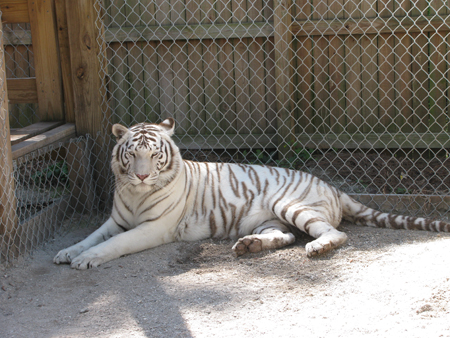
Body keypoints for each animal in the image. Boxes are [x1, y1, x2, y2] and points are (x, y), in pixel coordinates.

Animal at [54, 119, 450, 270]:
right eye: (132, 154)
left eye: (155, 156)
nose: (140, 175)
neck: (135, 195)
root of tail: (334, 187)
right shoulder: (115, 220)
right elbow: (92, 236)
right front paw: (67, 252)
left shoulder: (154, 227)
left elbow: (113, 244)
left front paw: (86, 259)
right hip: (267, 219)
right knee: (285, 236)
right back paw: (249, 246)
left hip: (288, 204)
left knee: (334, 233)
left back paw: (318, 247)